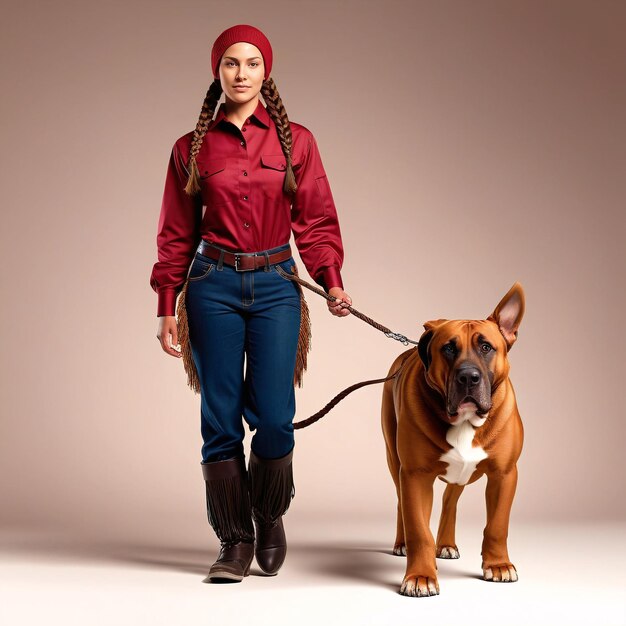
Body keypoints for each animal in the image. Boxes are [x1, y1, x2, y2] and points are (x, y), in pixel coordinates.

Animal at [380, 282, 520, 596]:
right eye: (448, 348)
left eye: (486, 347)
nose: (468, 377)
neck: (465, 421)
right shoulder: (415, 475)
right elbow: (419, 529)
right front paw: (420, 576)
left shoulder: (504, 474)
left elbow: (498, 525)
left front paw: (498, 565)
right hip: (394, 461)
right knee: (401, 502)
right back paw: (402, 543)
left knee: (449, 500)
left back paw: (445, 544)